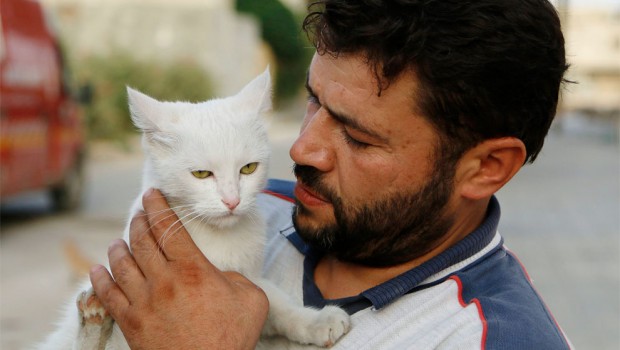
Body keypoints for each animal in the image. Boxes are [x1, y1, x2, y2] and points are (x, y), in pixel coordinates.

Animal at [37, 69, 348, 350]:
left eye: (248, 168)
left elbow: (276, 302)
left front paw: (317, 321)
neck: (215, 239)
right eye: (201, 174)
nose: (232, 201)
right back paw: (93, 318)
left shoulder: (248, 280)